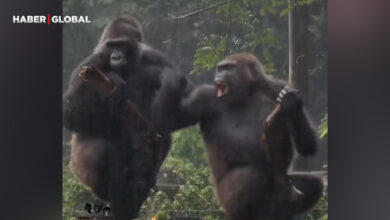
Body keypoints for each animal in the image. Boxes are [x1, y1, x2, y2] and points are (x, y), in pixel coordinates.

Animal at [62, 14, 197, 219]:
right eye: (111, 46)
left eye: (123, 45)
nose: (116, 57)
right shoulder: (90, 63)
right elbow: (71, 111)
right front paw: (114, 78)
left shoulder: (154, 56)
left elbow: (183, 98)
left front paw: (167, 81)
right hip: (77, 166)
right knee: (99, 149)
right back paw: (109, 193)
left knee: (162, 138)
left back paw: (143, 182)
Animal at [181, 53, 322, 220]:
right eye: (220, 68)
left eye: (229, 68)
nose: (218, 75)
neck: (249, 91)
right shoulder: (204, 96)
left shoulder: (277, 87)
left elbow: (307, 145)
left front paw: (292, 103)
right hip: (225, 201)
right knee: (249, 176)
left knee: (313, 184)